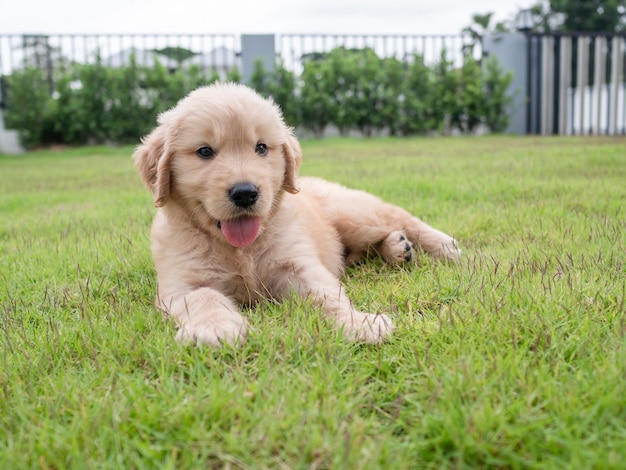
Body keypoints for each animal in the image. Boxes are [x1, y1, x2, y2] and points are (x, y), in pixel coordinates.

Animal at [133, 82, 458, 346]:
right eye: (204, 152)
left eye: (261, 148)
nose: (245, 193)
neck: (241, 250)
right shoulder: (180, 283)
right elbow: (204, 296)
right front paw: (215, 328)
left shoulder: (296, 264)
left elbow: (326, 295)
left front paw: (359, 323)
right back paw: (398, 248)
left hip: (354, 215)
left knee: (401, 217)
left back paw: (445, 247)